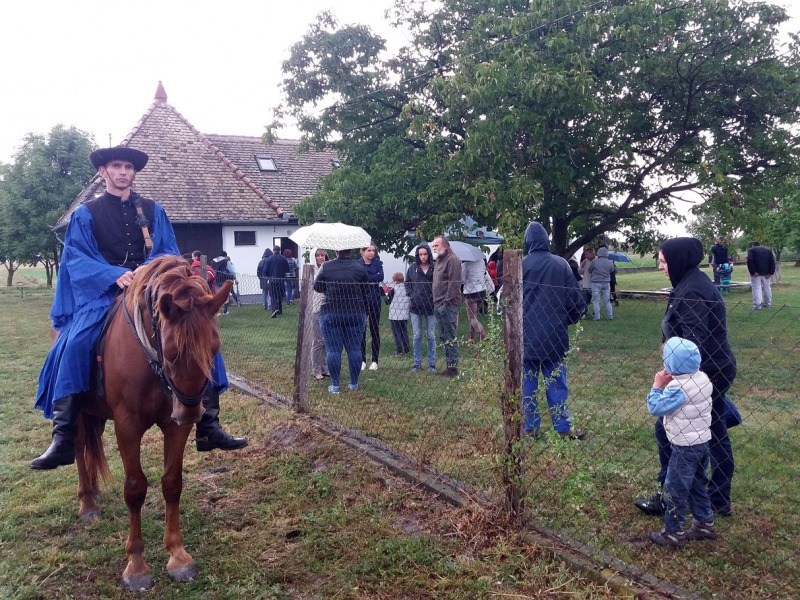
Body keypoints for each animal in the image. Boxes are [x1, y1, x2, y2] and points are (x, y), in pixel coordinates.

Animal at [74, 256, 231, 592]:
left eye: (215, 349)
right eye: (171, 352)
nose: (190, 412)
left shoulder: (175, 426)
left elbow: (172, 483)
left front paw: (178, 555)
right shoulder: (127, 426)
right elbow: (135, 489)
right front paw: (136, 566)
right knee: (79, 448)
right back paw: (87, 503)